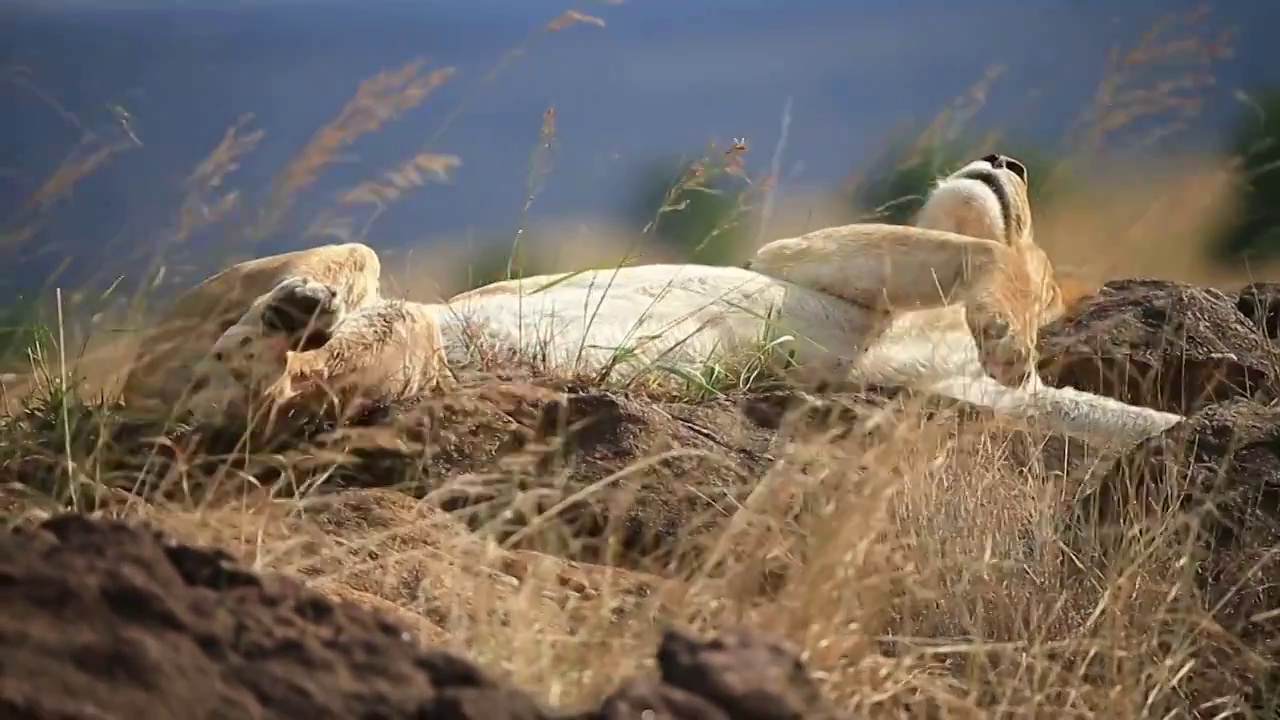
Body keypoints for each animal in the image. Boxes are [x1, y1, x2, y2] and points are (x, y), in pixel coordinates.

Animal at [117, 154, 1177, 440]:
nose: (1010, 159)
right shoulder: (800, 251)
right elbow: (967, 255)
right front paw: (1011, 321)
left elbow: (1119, 421)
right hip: (348, 274)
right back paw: (291, 312)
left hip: (404, 345)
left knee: (266, 401)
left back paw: (271, 348)